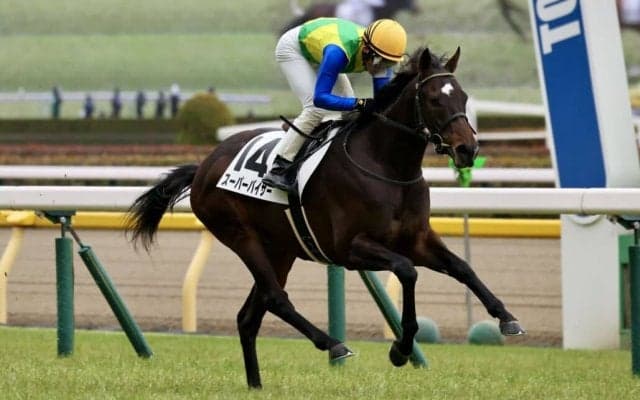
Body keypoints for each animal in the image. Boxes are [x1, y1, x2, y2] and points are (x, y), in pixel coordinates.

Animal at [126, 46, 525, 389]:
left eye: (464, 98)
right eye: (434, 99)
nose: (467, 149)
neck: (387, 165)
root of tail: (204, 166)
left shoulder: (417, 239)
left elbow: (462, 268)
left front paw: (507, 318)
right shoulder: (350, 249)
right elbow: (407, 271)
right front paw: (400, 348)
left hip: (280, 249)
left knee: (249, 316)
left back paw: (256, 385)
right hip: (241, 236)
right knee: (276, 298)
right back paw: (333, 344)